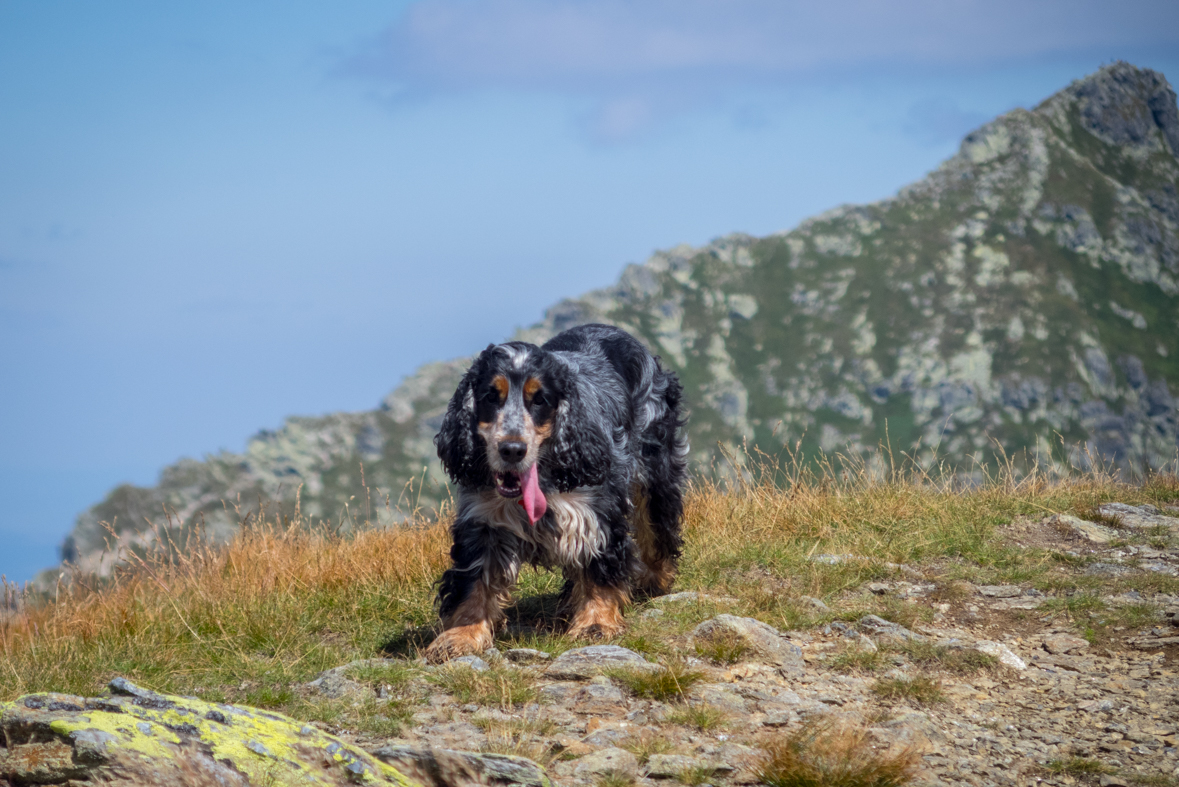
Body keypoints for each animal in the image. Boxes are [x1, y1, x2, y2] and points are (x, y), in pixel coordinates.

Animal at [424, 322, 688, 659]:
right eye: (490, 396)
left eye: (539, 400)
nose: (512, 449)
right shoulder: (483, 523)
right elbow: (473, 582)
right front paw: (460, 636)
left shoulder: (596, 512)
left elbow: (601, 568)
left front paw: (596, 623)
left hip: (655, 465)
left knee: (657, 527)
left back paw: (656, 580)